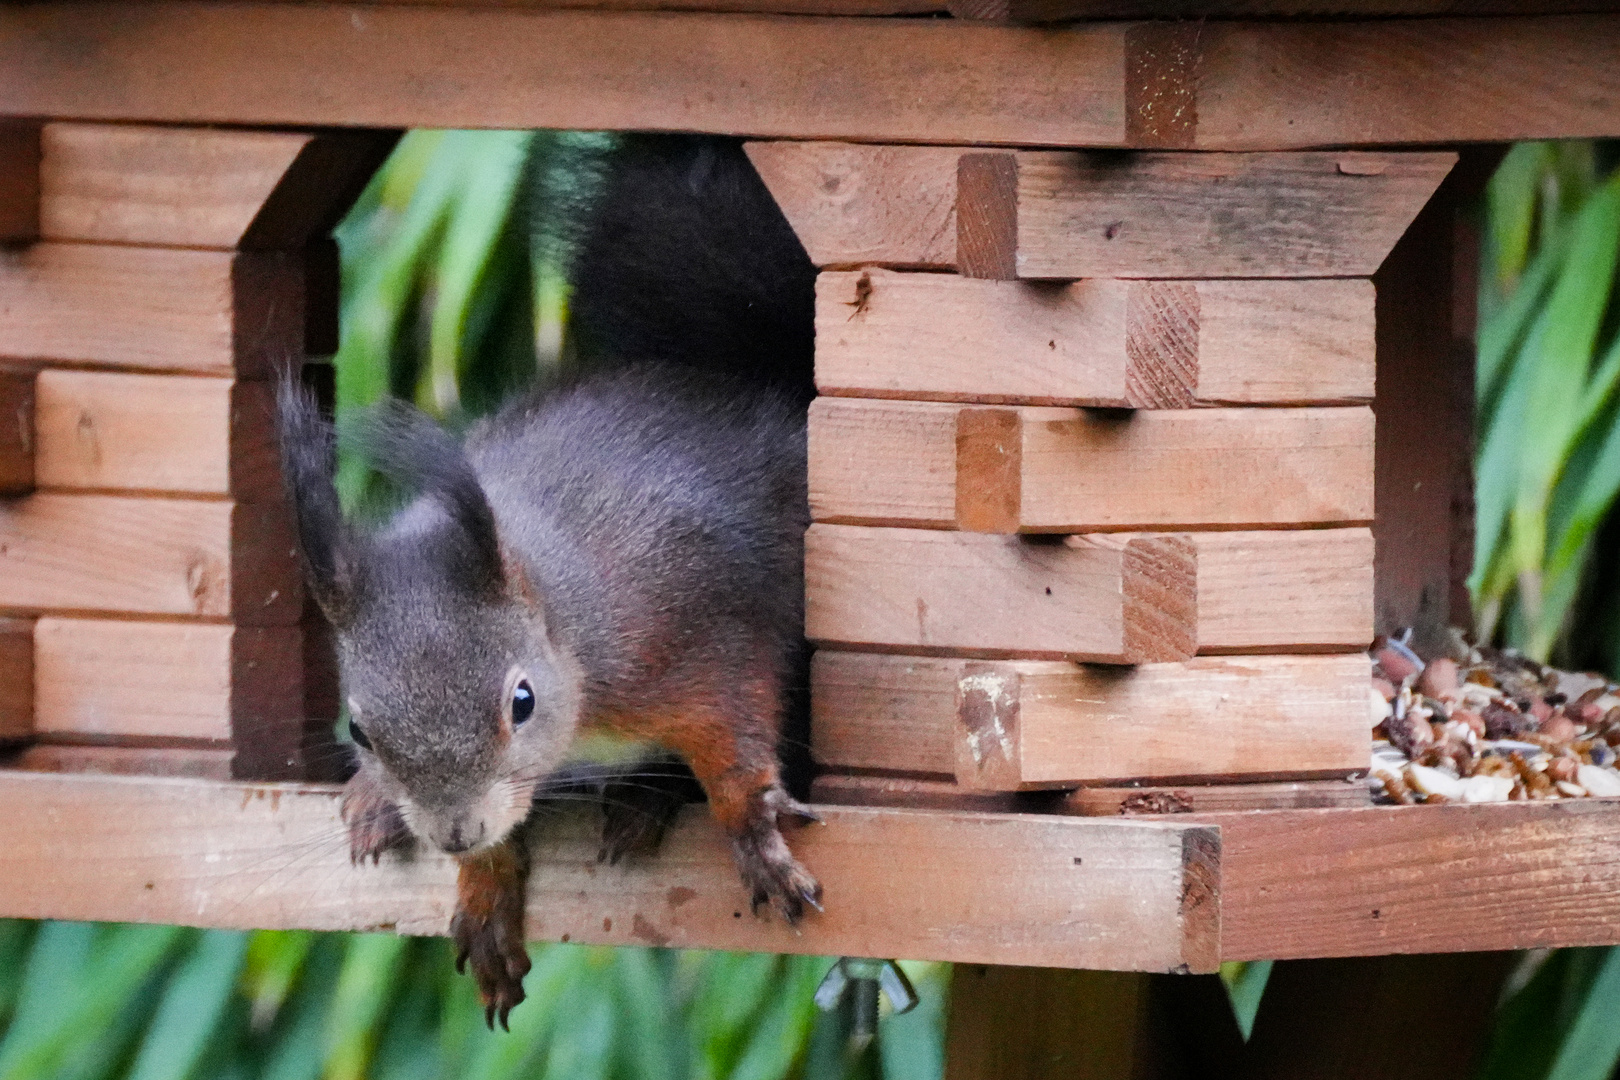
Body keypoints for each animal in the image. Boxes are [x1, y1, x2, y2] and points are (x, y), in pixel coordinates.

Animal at [273, 135, 822, 1029]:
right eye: (359, 727)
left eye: (521, 701)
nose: (456, 831)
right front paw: (483, 885)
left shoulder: (690, 625)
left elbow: (734, 724)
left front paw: (752, 827)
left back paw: (644, 804)